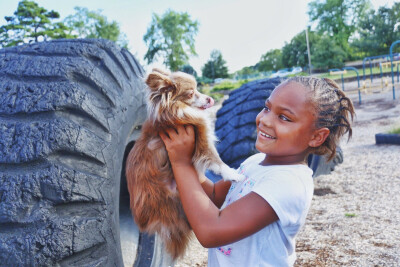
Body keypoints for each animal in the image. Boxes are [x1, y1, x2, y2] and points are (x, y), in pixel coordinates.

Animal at [126, 68, 242, 260]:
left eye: (199, 90)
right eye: (191, 93)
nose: (210, 99)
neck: (178, 110)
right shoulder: (202, 142)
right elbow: (217, 161)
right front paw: (234, 174)